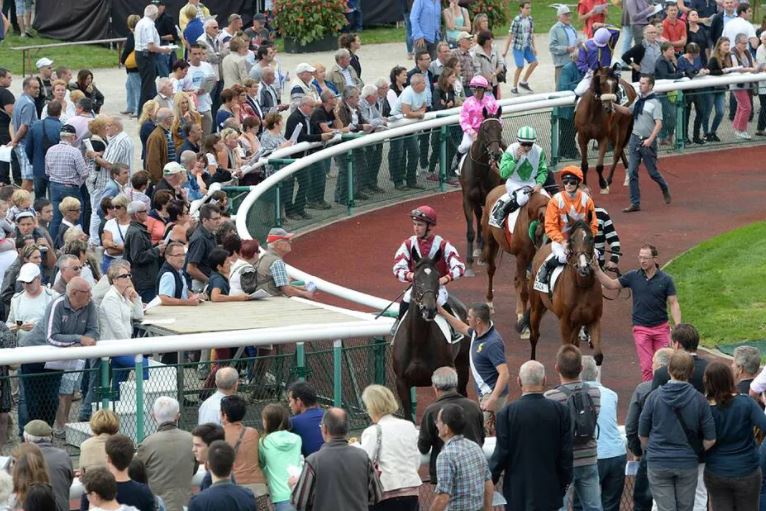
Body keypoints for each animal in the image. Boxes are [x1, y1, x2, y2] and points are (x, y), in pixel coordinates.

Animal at [392, 250, 472, 422]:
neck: (417, 342)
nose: (429, 309)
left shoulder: (441, 377)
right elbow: (408, 417)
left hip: (462, 364)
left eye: (437, 278)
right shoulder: (401, 382)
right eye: (416, 279)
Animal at [460, 109, 508, 276]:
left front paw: (483, 257)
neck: (479, 171)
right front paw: (469, 263)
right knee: (479, 216)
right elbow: (470, 230)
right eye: (485, 129)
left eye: (500, 128)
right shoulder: (468, 200)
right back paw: (479, 246)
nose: (496, 154)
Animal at [484, 186, 548, 338]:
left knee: (516, 279)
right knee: (491, 270)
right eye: (539, 235)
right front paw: (524, 326)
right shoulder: (522, 257)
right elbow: (524, 292)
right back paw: (489, 302)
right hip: (490, 242)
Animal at [528, 218, 608, 370]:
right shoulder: (564, 321)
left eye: (591, 238)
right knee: (534, 336)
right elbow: (566, 350)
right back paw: (532, 363)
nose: (584, 267)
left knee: (575, 343)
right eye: (571, 240)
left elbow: (598, 356)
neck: (582, 286)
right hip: (536, 307)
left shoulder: (593, 319)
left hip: (576, 322)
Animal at [580, 67, 640, 195]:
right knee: (620, 150)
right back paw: (627, 176)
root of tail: (630, 86)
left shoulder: (603, 137)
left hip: (623, 126)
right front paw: (585, 186)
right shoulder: (582, 137)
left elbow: (599, 166)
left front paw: (603, 184)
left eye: (614, 84)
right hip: (613, 130)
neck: (592, 113)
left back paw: (609, 179)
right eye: (601, 83)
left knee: (617, 152)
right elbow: (584, 164)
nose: (609, 107)